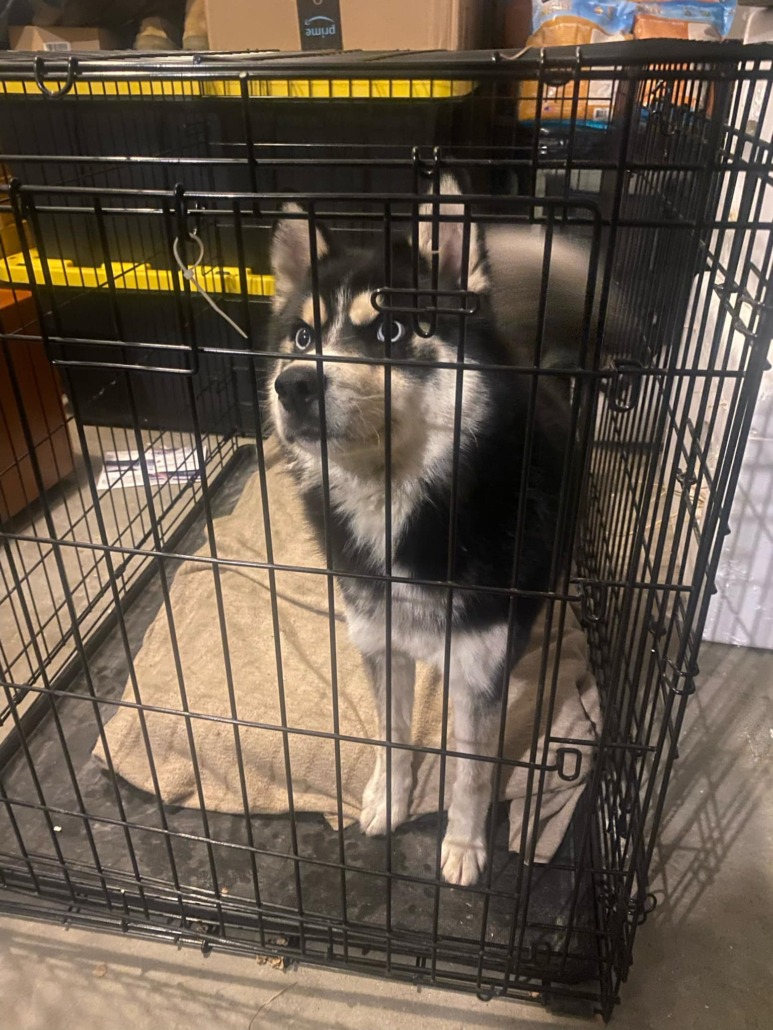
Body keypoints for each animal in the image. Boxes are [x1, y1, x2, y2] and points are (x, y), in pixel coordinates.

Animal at [268, 176, 570, 886]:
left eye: (392, 328)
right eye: (302, 336)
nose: (291, 386)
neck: (400, 504)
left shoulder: (480, 672)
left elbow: (472, 772)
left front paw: (463, 844)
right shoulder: (380, 644)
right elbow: (392, 735)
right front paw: (389, 798)